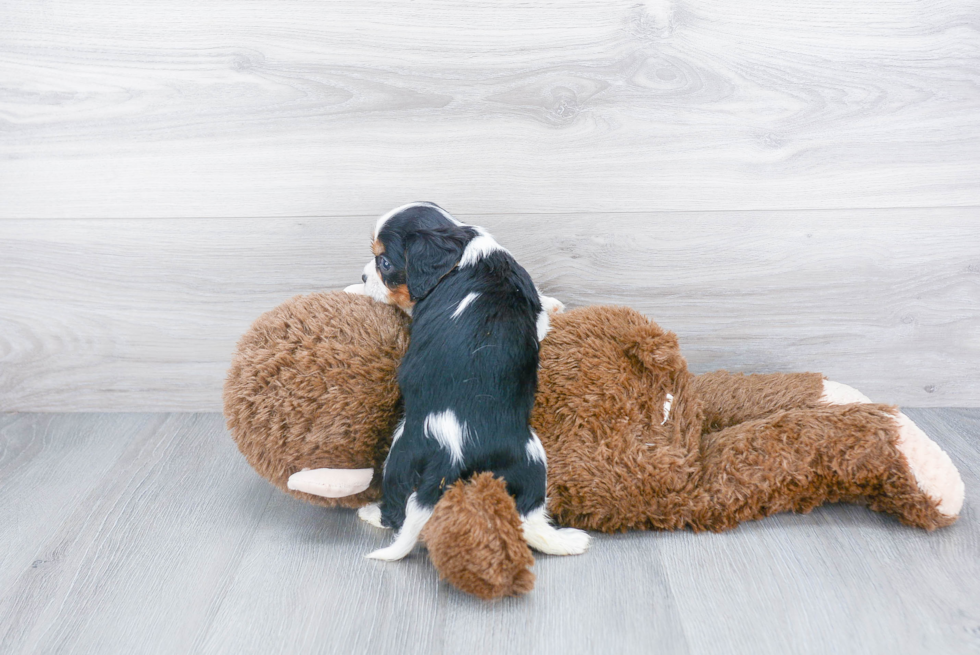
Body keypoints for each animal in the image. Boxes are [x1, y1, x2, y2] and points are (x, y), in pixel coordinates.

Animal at [346, 202, 584, 560]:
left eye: (384, 262)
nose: (363, 275)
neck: (461, 251)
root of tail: (451, 450)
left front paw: (356, 288)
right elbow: (542, 313)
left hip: (401, 453)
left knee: (398, 505)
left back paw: (372, 513)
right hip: (530, 456)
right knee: (528, 513)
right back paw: (568, 541)